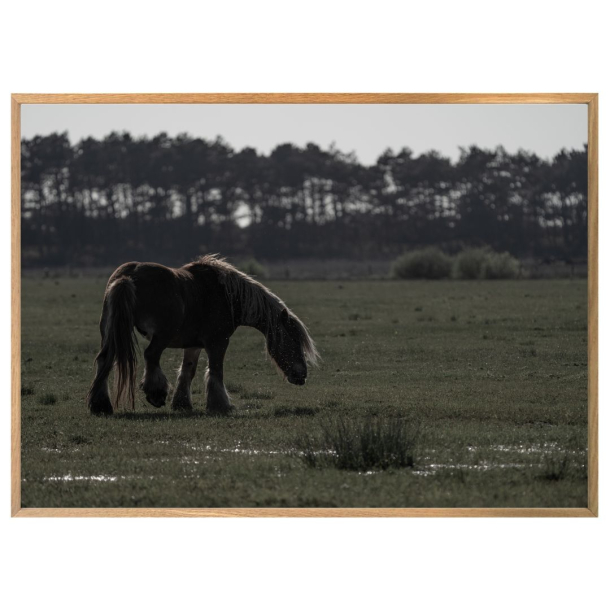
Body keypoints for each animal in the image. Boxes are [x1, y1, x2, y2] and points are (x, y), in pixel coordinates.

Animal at [86, 254, 318, 416]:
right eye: (292, 340)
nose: (302, 375)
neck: (226, 295)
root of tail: (127, 276)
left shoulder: (194, 345)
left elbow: (188, 371)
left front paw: (181, 403)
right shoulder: (218, 342)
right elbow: (216, 372)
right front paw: (220, 405)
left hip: (111, 332)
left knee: (105, 360)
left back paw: (100, 405)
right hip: (160, 337)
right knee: (151, 356)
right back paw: (156, 394)